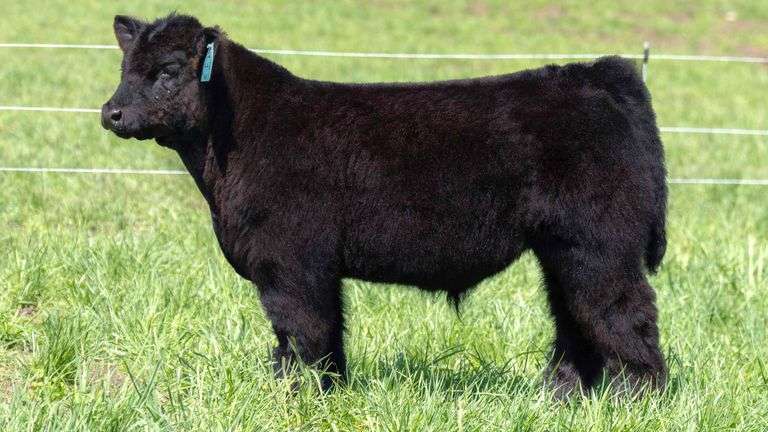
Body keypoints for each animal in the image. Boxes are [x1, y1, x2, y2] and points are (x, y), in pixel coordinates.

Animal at [101, 13, 668, 397]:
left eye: (168, 70)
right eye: (125, 68)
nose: (112, 113)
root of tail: (592, 75)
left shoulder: (291, 263)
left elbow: (301, 331)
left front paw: (296, 397)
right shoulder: (308, 267)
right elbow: (320, 335)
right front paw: (322, 393)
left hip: (599, 244)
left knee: (625, 311)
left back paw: (636, 398)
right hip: (563, 249)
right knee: (576, 317)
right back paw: (561, 396)